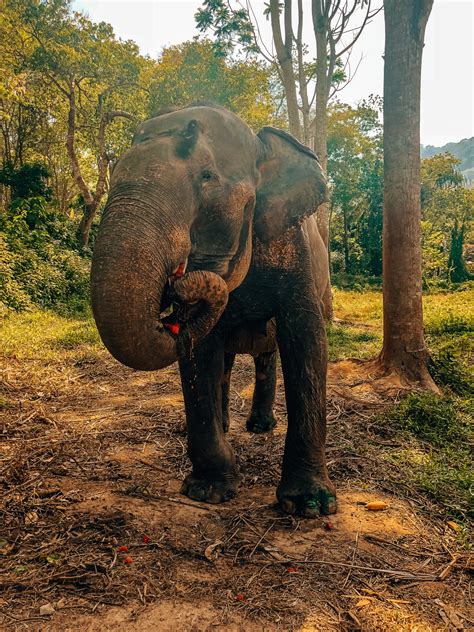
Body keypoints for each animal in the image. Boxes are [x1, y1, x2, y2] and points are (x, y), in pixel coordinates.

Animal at [91, 103, 336, 520]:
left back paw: (260, 427)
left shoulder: (297, 253)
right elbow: (199, 356)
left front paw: (310, 504)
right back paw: (229, 425)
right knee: (226, 361)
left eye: (207, 177)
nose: (175, 287)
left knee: (267, 356)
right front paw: (208, 490)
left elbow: (307, 343)